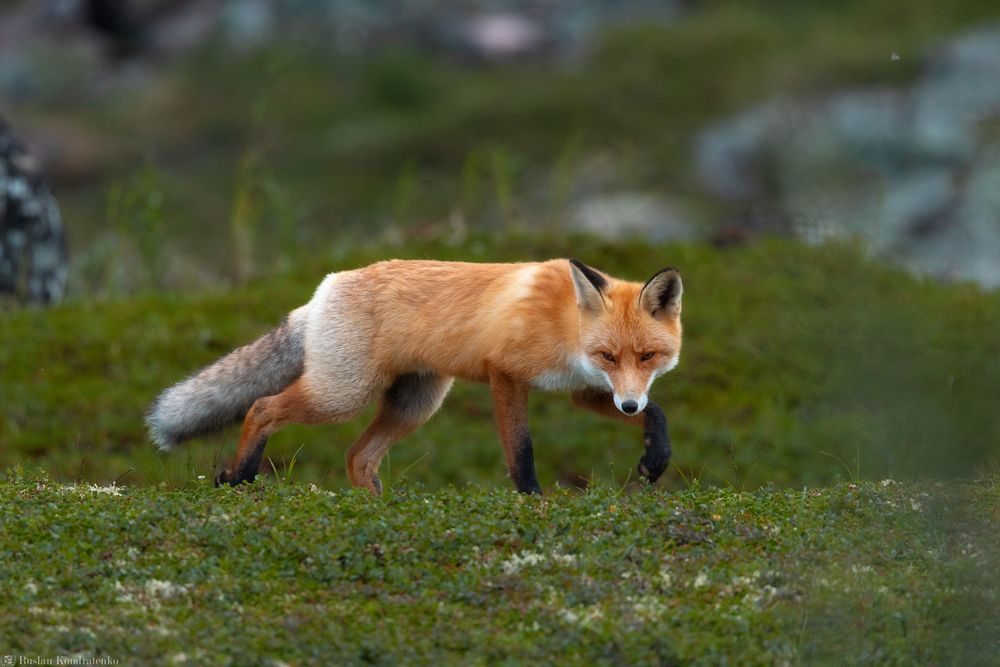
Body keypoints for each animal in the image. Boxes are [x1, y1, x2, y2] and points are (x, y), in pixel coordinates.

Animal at [147, 258, 682, 494]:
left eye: (648, 356)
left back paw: (376, 510)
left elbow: (657, 411)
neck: (566, 325)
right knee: (261, 407)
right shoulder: (505, 374)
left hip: (414, 405)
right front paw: (531, 499)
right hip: (342, 395)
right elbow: (521, 451)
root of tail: (320, 293)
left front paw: (655, 458)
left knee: (358, 457)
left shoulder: (586, 391)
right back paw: (239, 476)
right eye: (608, 355)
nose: (626, 405)